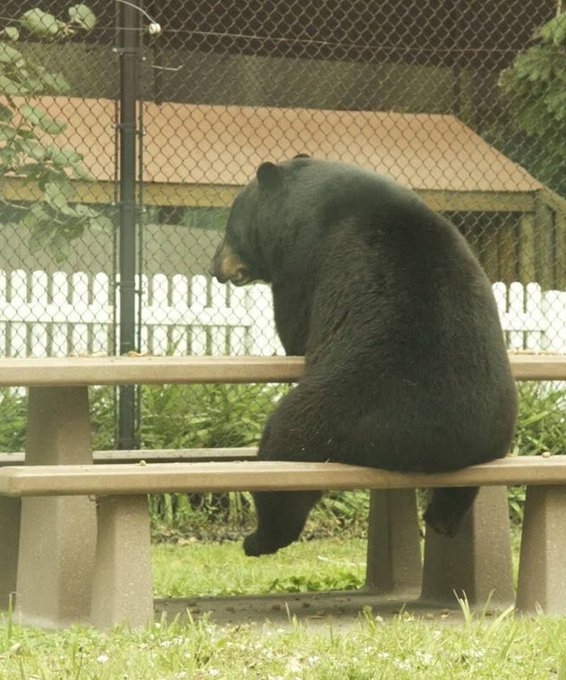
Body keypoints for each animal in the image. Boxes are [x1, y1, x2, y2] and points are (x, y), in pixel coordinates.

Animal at [212, 156, 518, 557]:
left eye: (231, 227)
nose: (215, 266)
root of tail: (428, 446)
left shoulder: (305, 259)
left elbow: (295, 325)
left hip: (339, 407)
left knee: (285, 453)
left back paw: (259, 539)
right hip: (490, 437)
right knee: (458, 493)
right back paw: (442, 520)